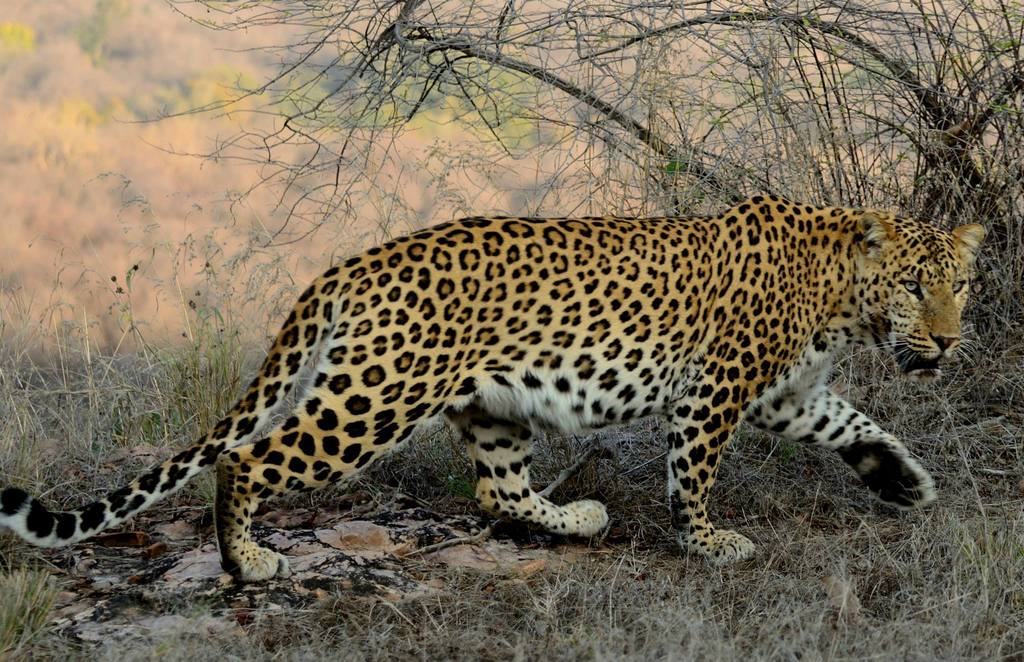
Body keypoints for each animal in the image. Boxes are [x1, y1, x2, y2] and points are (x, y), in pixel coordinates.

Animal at [1, 194, 985, 582]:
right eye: (912, 285)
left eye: (961, 286)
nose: (945, 338)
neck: (842, 301)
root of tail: (350, 265)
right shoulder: (717, 389)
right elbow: (695, 475)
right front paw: (710, 543)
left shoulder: (787, 393)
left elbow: (855, 423)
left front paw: (904, 482)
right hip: (374, 397)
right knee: (248, 458)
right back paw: (248, 561)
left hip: (490, 406)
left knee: (496, 489)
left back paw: (579, 517)